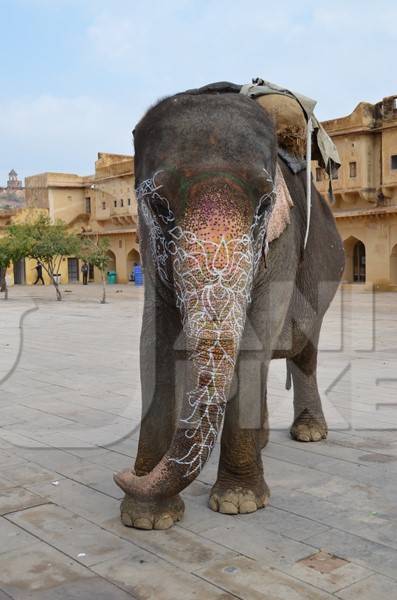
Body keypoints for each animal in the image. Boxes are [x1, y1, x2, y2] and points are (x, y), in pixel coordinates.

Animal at [113, 83, 344, 528]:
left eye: (265, 205)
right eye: (158, 206)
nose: (123, 476)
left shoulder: (280, 246)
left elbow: (254, 341)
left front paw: (239, 502)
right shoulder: (150, 252)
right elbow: (154, 341)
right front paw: (146, 518)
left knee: (302, 348)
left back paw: (308, 433)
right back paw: (265, 441)